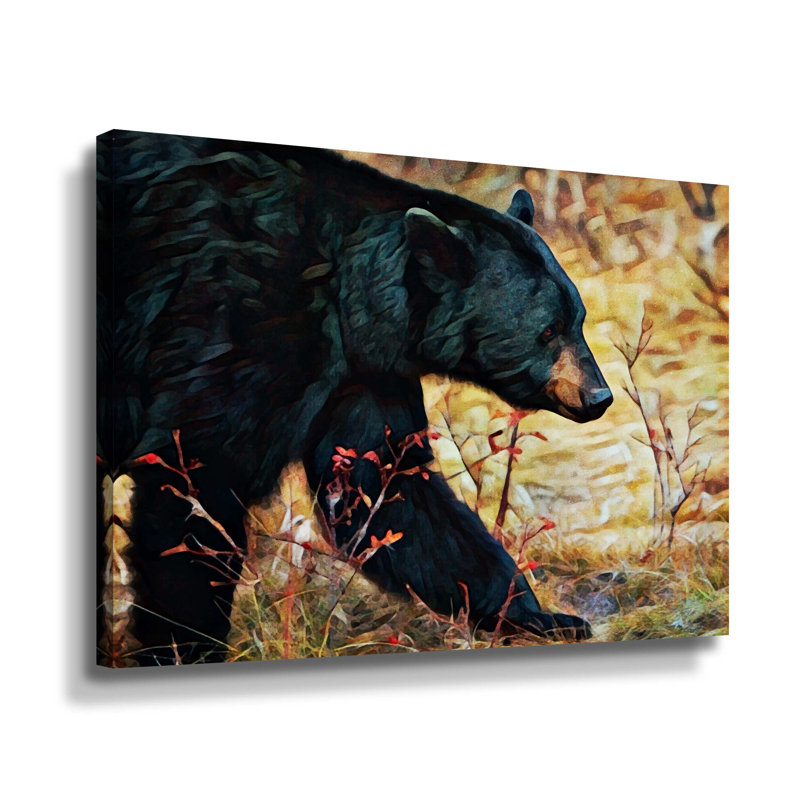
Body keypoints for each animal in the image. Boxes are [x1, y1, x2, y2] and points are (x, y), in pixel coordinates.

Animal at [96, 130, 612, 666]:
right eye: (547, 330)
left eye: (577, 318)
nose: (598, 395)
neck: (347, 290)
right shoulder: (232, 326)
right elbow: (198, 475)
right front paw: (183, 646)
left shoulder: (364, 375)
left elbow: (387, 492)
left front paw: (541, 615)